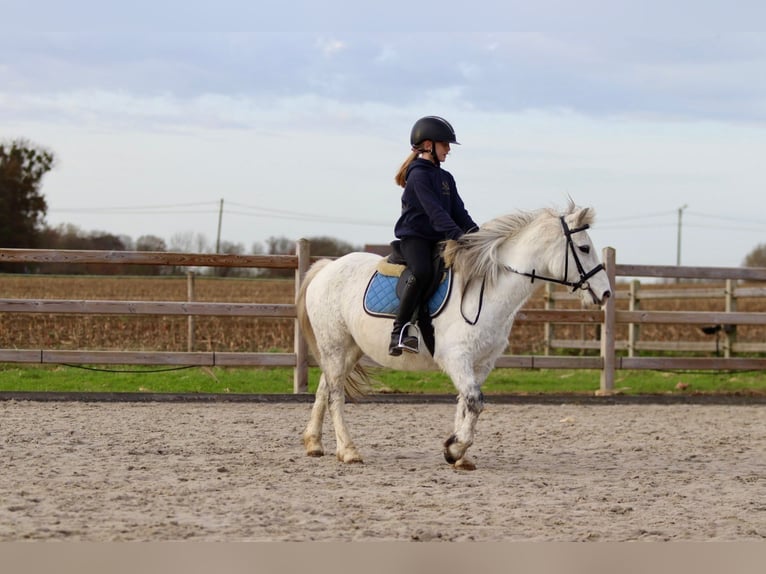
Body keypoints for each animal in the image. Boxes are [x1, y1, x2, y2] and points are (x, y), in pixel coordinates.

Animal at [298, 200, 612, 470]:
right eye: (584, 248)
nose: (606, 293)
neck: (488, 290)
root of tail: (327, 266)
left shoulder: (481, 362)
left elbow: (466, 403)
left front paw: (459, 455)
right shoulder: (457, 357)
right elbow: (474, 401)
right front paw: (454, 449)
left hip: (348, 350)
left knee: (325, 387)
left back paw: (314, 444)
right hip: (336, 346)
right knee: (335, 395)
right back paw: (348, 450)